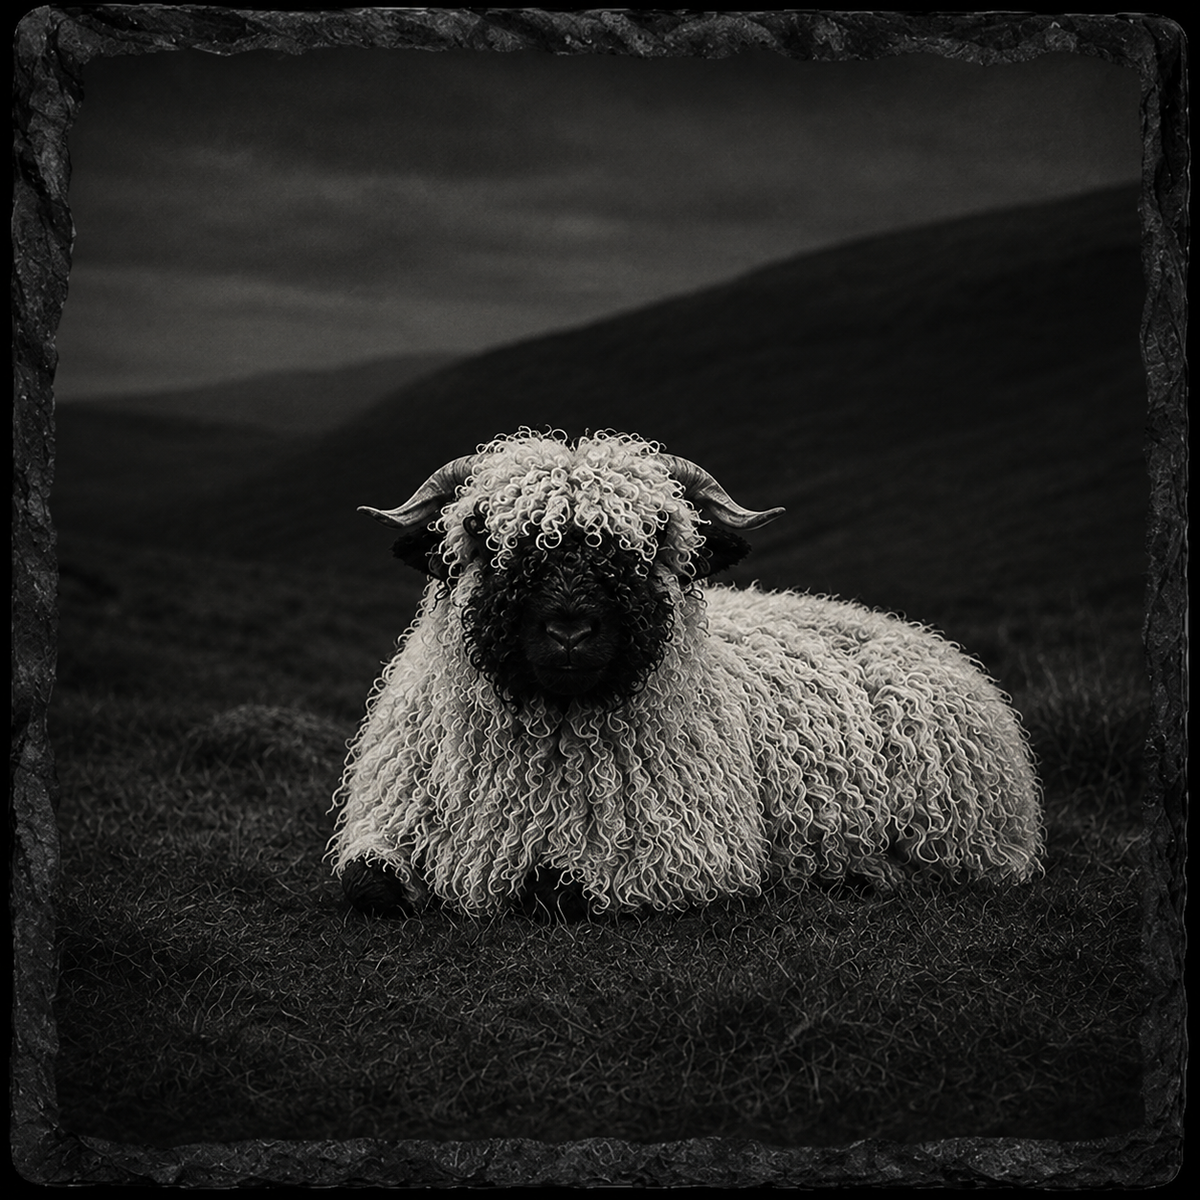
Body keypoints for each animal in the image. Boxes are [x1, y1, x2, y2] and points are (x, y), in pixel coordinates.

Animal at [329, 429, 1042, 919]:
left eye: (652, 543)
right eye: (484, 538)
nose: (570, 629)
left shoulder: (693, 856)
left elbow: (560, 888)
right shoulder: (385, 824)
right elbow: (364, 884)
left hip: (962, 833)